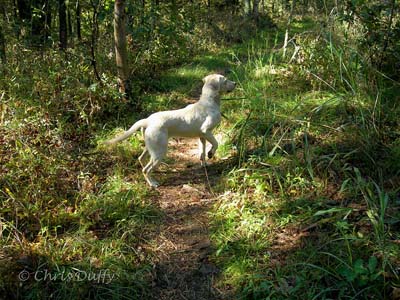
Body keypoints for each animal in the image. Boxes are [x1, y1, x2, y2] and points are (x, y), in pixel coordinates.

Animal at [107, 74, 238, 188]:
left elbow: (202, 151)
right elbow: (216, 143)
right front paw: (211, 153)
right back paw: (153, 183)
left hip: (152, 147)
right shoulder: (206, 131)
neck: (209, 101)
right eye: (226, 80)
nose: (235, 83)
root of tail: (147, 120)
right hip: (159, 151)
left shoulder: (202, 136)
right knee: (146, 170)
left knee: (141, 159)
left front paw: (204, 163)